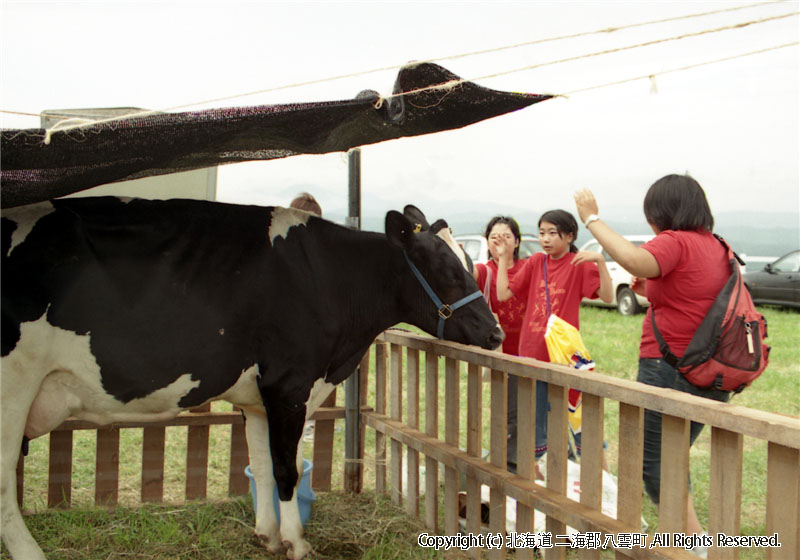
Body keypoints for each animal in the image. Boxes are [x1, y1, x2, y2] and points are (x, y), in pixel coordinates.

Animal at [1, 196, 500, 556]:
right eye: (449, 271)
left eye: (469, 262)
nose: (495, 332)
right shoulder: (289, 385)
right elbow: (284, 470)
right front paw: (297, 543)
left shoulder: (258, 398)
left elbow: (260, 465)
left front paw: (269, 535)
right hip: (14, 389)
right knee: (5, 483)